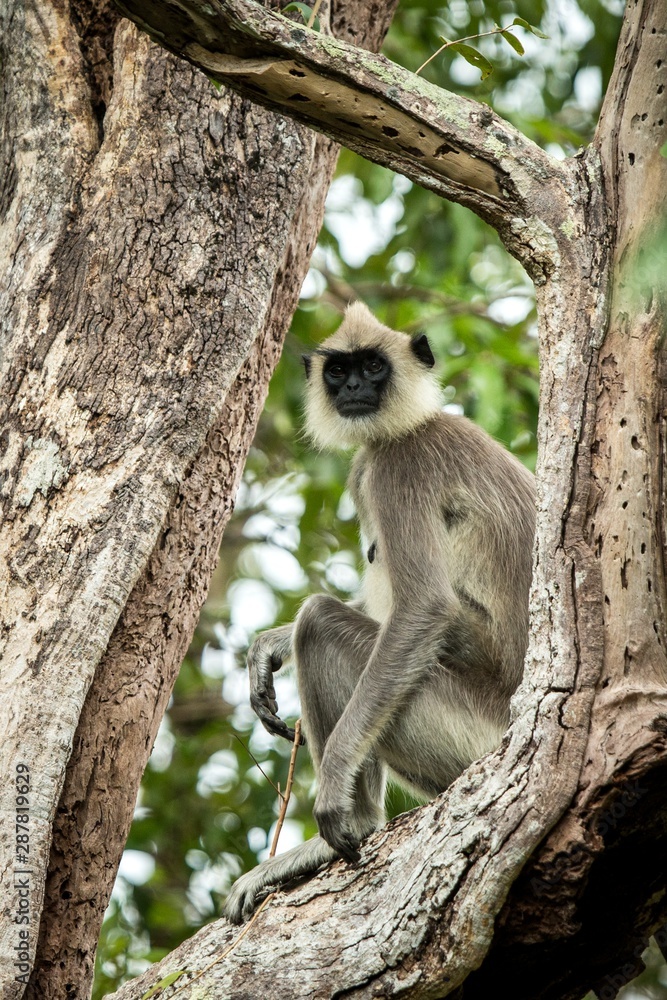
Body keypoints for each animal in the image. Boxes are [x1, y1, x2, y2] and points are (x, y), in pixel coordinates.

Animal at [223, 301, 535, 924]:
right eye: (339, 371)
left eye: (372, 366)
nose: (355, 389)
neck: (417, 422)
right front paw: (269, 645)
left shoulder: (400, 466)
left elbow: (421, 608)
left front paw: (334, 787)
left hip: (469, 728)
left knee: (321, 624)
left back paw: (353, 824)